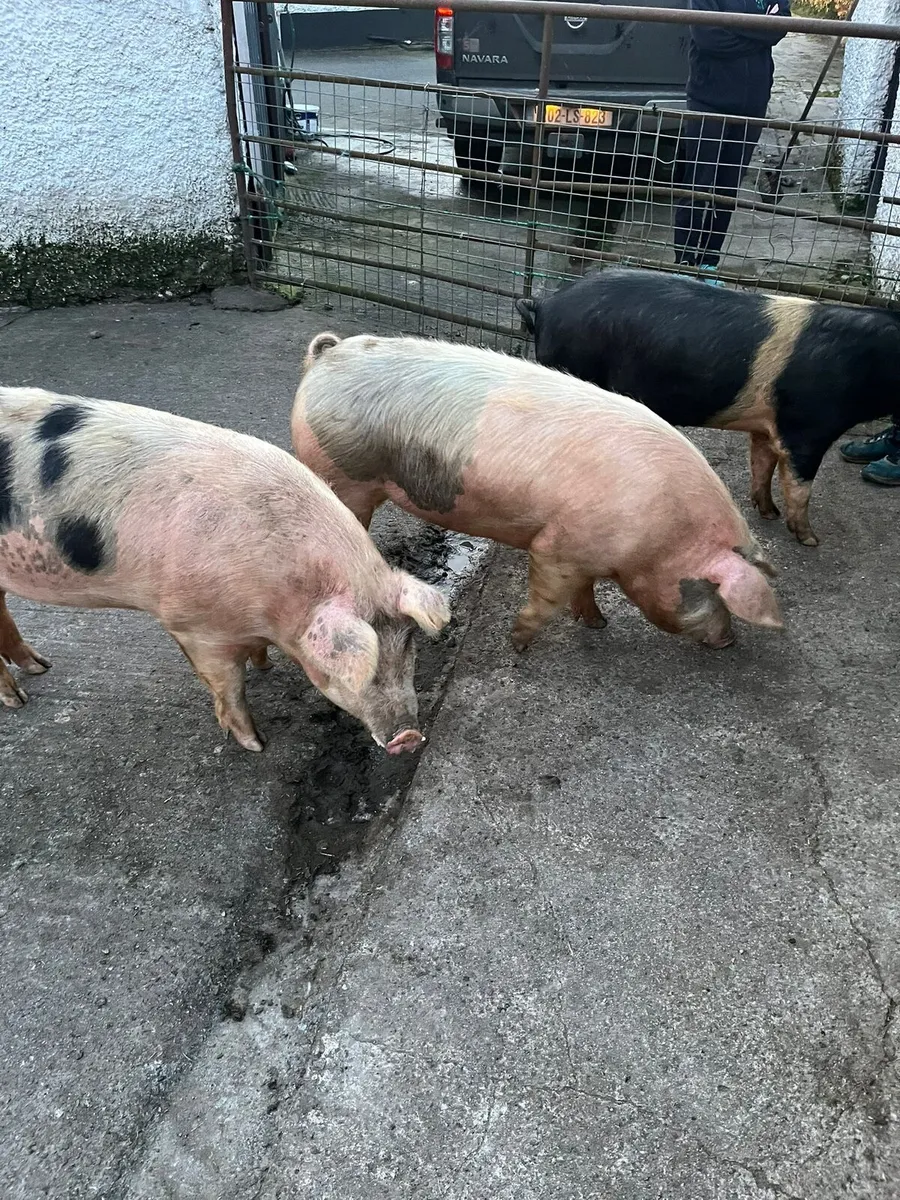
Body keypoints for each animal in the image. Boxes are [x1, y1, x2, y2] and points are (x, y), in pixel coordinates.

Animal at [0, 387, 450, 753]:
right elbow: (228, 686)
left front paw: (265, 666)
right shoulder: (194, 626)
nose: (410, 736)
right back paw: (18, 700)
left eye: (408, 646)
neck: (281, 598)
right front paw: (256, 744)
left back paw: (41, 667)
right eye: (352, 668)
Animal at [291, 332, 782, 651]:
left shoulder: (587, 552)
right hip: (340, 475)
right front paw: (519, 644)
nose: (729, 642)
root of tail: (327, 356)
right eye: (715, 593)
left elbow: (584, 590)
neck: (666, 535)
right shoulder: (555, 547)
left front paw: (597, 624)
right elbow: (546, 599)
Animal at [516, 266, 900, 547]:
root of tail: (544, 305)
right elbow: (800, 485)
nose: (811, 540)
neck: (870, 362)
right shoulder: (807, 427)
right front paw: (811, 540)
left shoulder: (766, 427)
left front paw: (768, 514)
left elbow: (762, 466)